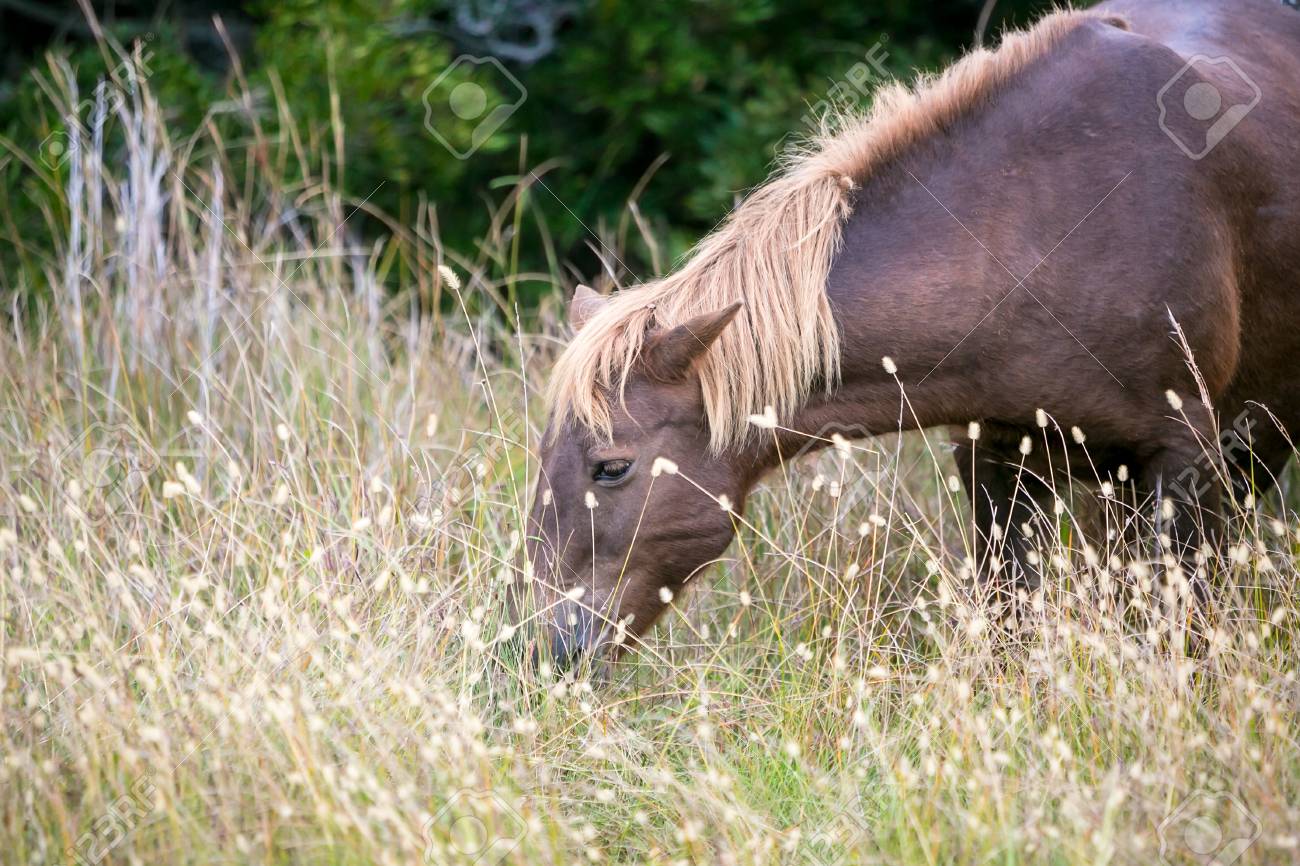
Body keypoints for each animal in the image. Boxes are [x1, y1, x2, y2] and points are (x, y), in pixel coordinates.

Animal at [522, 0, 1300, 663]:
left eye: (611, 467)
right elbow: (1010, 613)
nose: (536, 649)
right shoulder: (995, 456)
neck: (1042, 221)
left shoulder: (1184, 459)